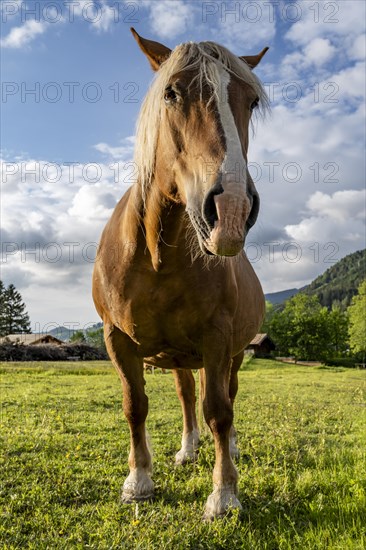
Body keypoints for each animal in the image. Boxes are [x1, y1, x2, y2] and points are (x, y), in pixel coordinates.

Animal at [91, 29, 268, 520]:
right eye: (171, 93)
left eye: (251, 101)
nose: (231, 209)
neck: (157, 256)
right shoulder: (117, 338)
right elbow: (135, 406)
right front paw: (138, 481)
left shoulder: (218, 337)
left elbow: (220, 411)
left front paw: (224, 495)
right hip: (177, 356)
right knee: (188, 395)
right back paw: (188, 449)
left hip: (231, 353)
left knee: (225, 395)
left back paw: (231, 448)